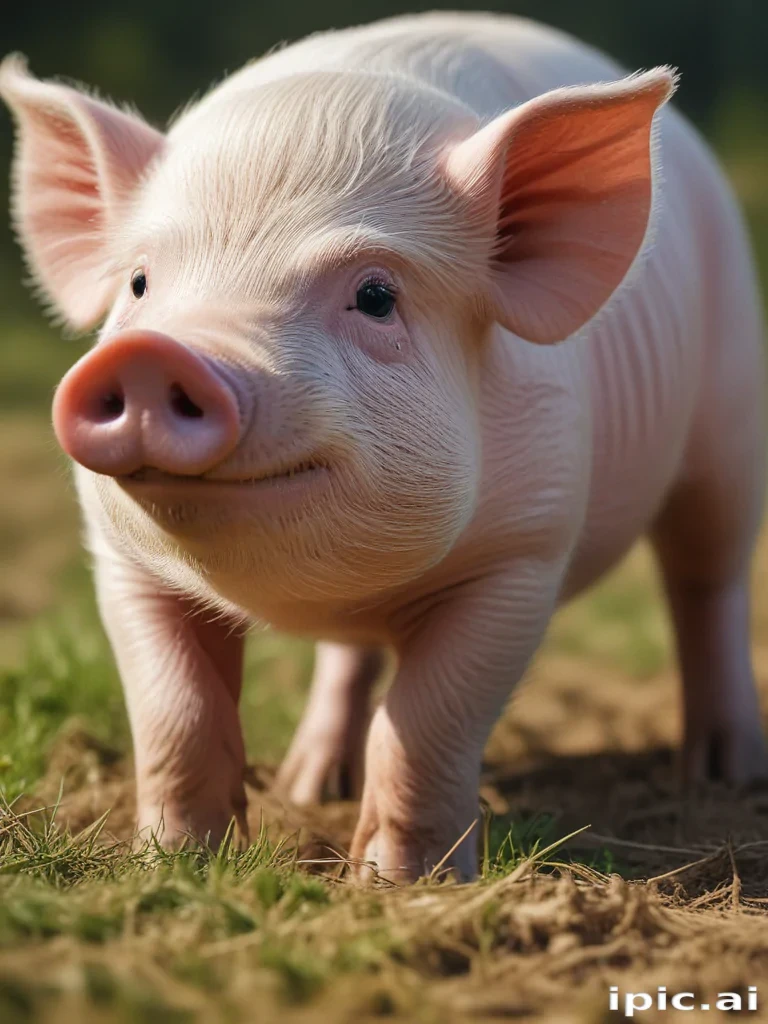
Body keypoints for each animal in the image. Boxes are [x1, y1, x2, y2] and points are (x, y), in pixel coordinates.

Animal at [2, 10, 766, 882]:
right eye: (137, 284)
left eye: (374, 296)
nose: (152, 355)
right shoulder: (121, 560)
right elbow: (176, 713)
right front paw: (173, 866)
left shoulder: (523, 550)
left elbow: (427, 719)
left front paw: (399, 883)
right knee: (348, 656)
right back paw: (308, 785)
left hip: (731, 423)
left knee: (707, 582)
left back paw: (724, 772)